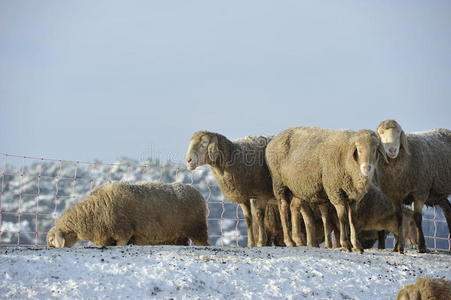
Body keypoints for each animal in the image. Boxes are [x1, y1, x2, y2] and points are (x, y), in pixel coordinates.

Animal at [46, 182, 208, 247]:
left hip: (197, 229)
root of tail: (197, 192)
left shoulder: (124, 233)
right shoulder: (107, 239)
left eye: (51, 240)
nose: (50, 248)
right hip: (178, 236)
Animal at [378, 119, 451, 253]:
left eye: (398, 132)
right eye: (381, 133)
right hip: (438, 194)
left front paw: (422, 246)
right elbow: (399, 219)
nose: (392, 150)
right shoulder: (394, 195)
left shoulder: (420, 192)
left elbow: (417, 218)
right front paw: (398, 247)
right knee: (448, 210)